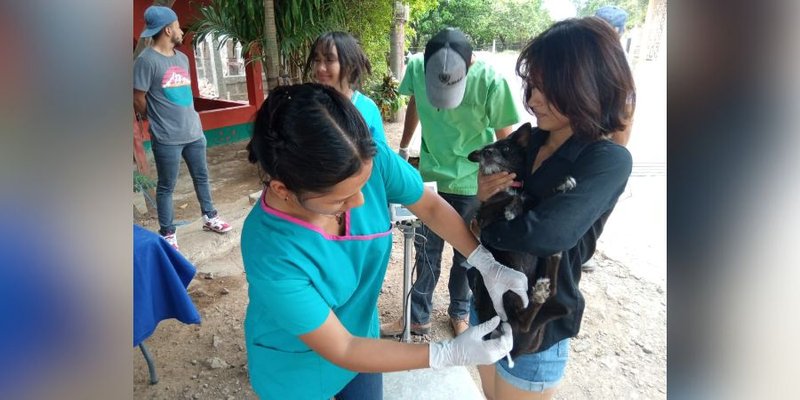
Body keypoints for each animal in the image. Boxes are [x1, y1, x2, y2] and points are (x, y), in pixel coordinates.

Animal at [468, 123, 576, 358]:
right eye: (483, 151)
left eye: (506, 148)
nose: (487, 153)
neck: (508, 185)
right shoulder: (485, 217)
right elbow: (509, 201)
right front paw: (512, 207)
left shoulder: (531, 200)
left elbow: (534, 198)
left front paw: (562, 185)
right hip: (505, 294)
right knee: (524, 318)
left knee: (550, 296)